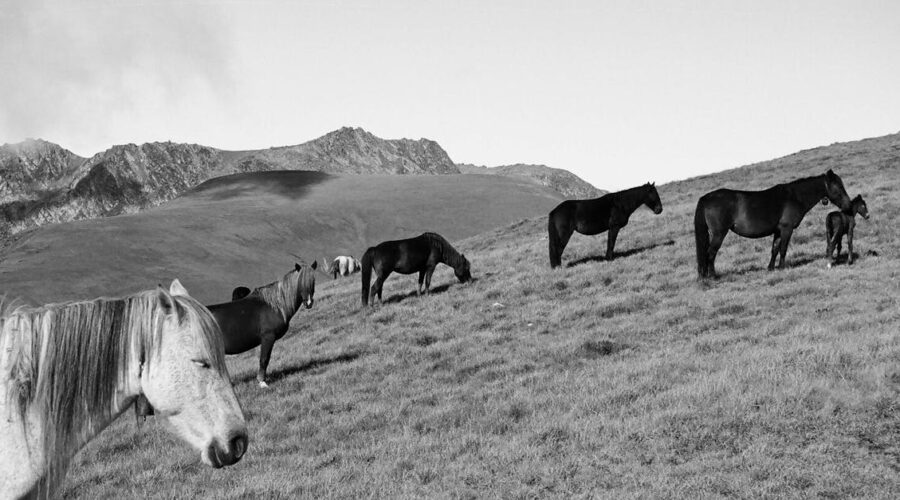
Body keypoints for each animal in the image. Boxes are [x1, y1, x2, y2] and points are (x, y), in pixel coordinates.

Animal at [694, 169, 852, 278]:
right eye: (838, 187)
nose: (848, 206)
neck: (794, 196)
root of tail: (705, 198)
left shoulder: (778, 230)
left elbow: (774, 249)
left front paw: (770, 268)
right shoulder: (787, 229)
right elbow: (783, 249)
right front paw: (782, 267)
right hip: (719, 233)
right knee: (711, 253)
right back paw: (713, 276)